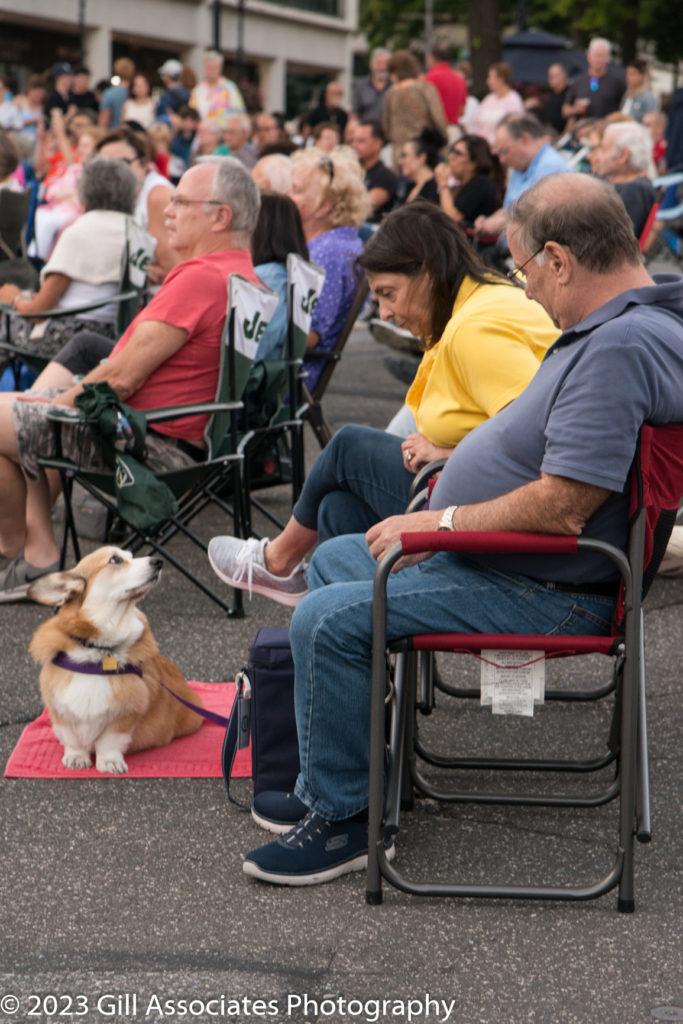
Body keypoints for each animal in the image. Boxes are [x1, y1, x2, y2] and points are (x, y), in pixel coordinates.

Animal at [28, 548, 202, 770]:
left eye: (131, 556)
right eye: (115, 559)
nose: (158, 561)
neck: (99, 650)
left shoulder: (125, 715)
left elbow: (108, 742)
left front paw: (110, 763)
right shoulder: (61, 712)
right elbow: (72, 739)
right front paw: (76, 757)